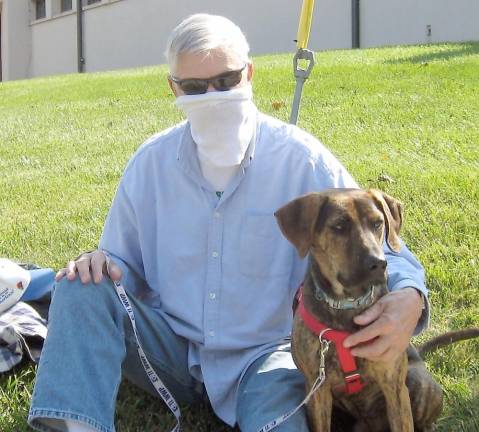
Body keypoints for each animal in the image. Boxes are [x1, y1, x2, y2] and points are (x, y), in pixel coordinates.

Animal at [274, 190, 442, 432]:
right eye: (339, 226)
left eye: (378, 223)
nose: (379, 263)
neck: (347, 303)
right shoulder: (317, 391)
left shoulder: (394, 388)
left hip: (417, 384)